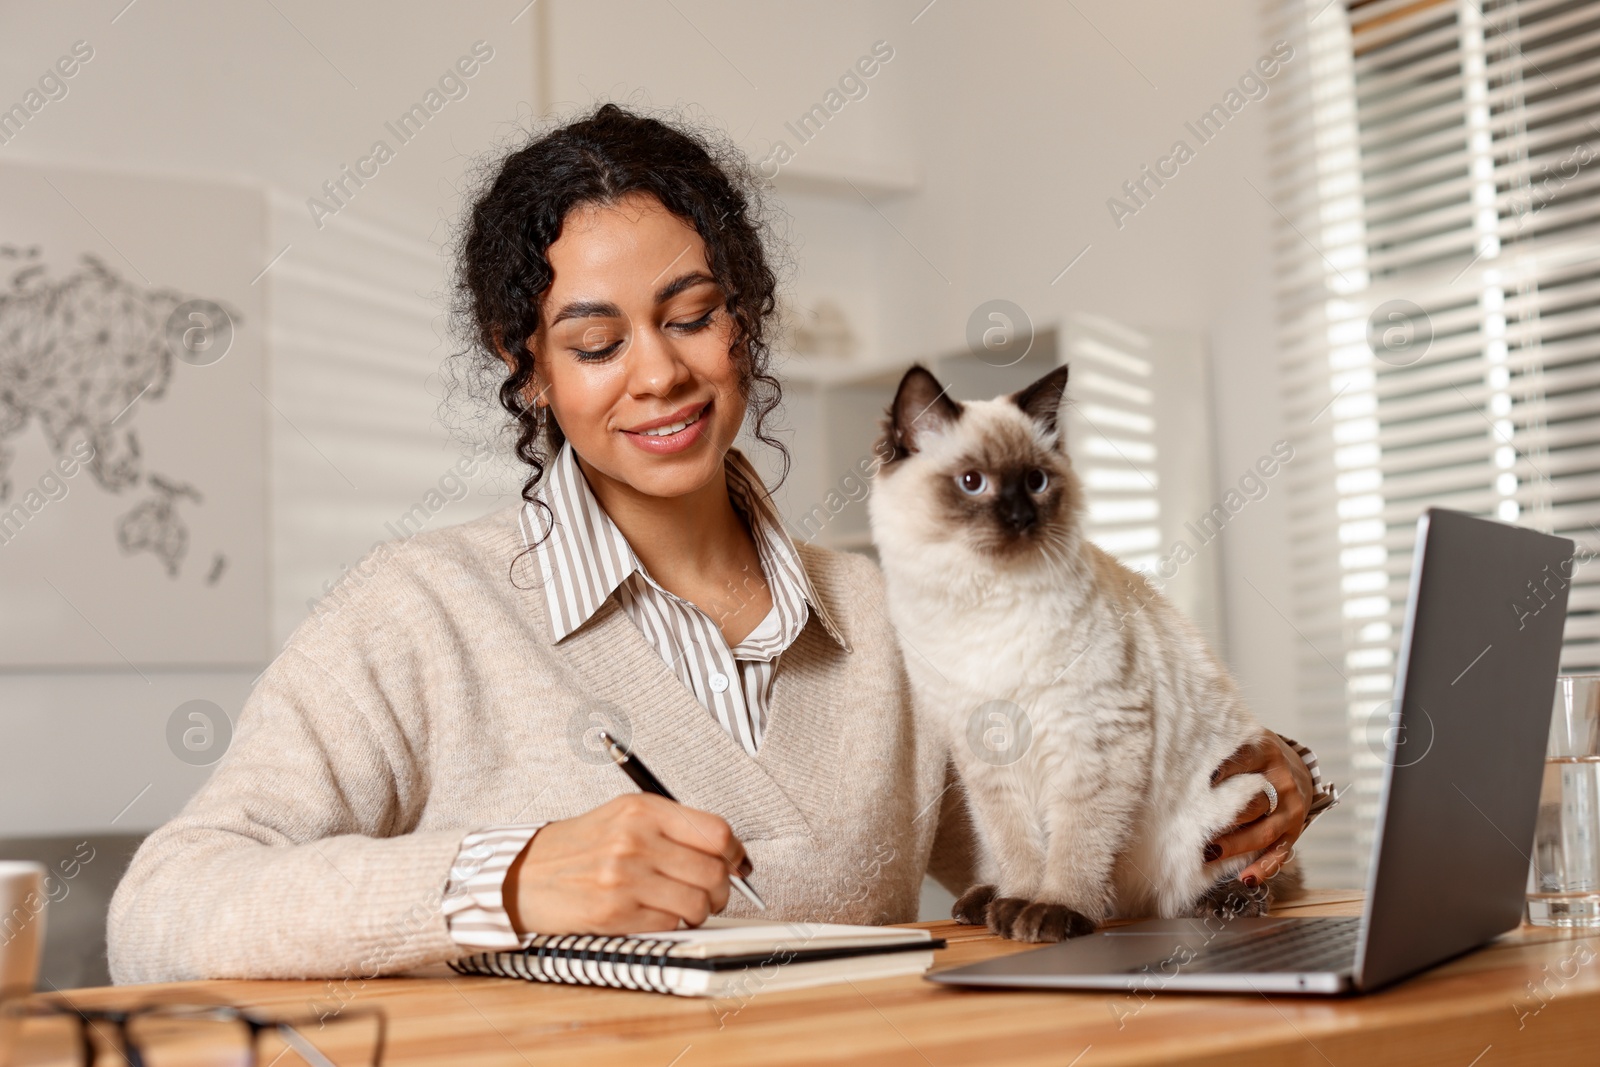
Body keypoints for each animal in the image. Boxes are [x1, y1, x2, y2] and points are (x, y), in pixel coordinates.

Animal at [864, 364, 1299, 940]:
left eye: (1036, 481)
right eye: (972, 482)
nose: (1022, 517)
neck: (985, 603)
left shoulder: (1094, 740)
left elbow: (1076, 845)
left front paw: (1052, 912)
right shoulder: (986, 756)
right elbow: (1019, 848)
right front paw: (1017, 906)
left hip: (1224, 803)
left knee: (1223, 883)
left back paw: (1229, 901)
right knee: (1002, 864)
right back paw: (985, 903)